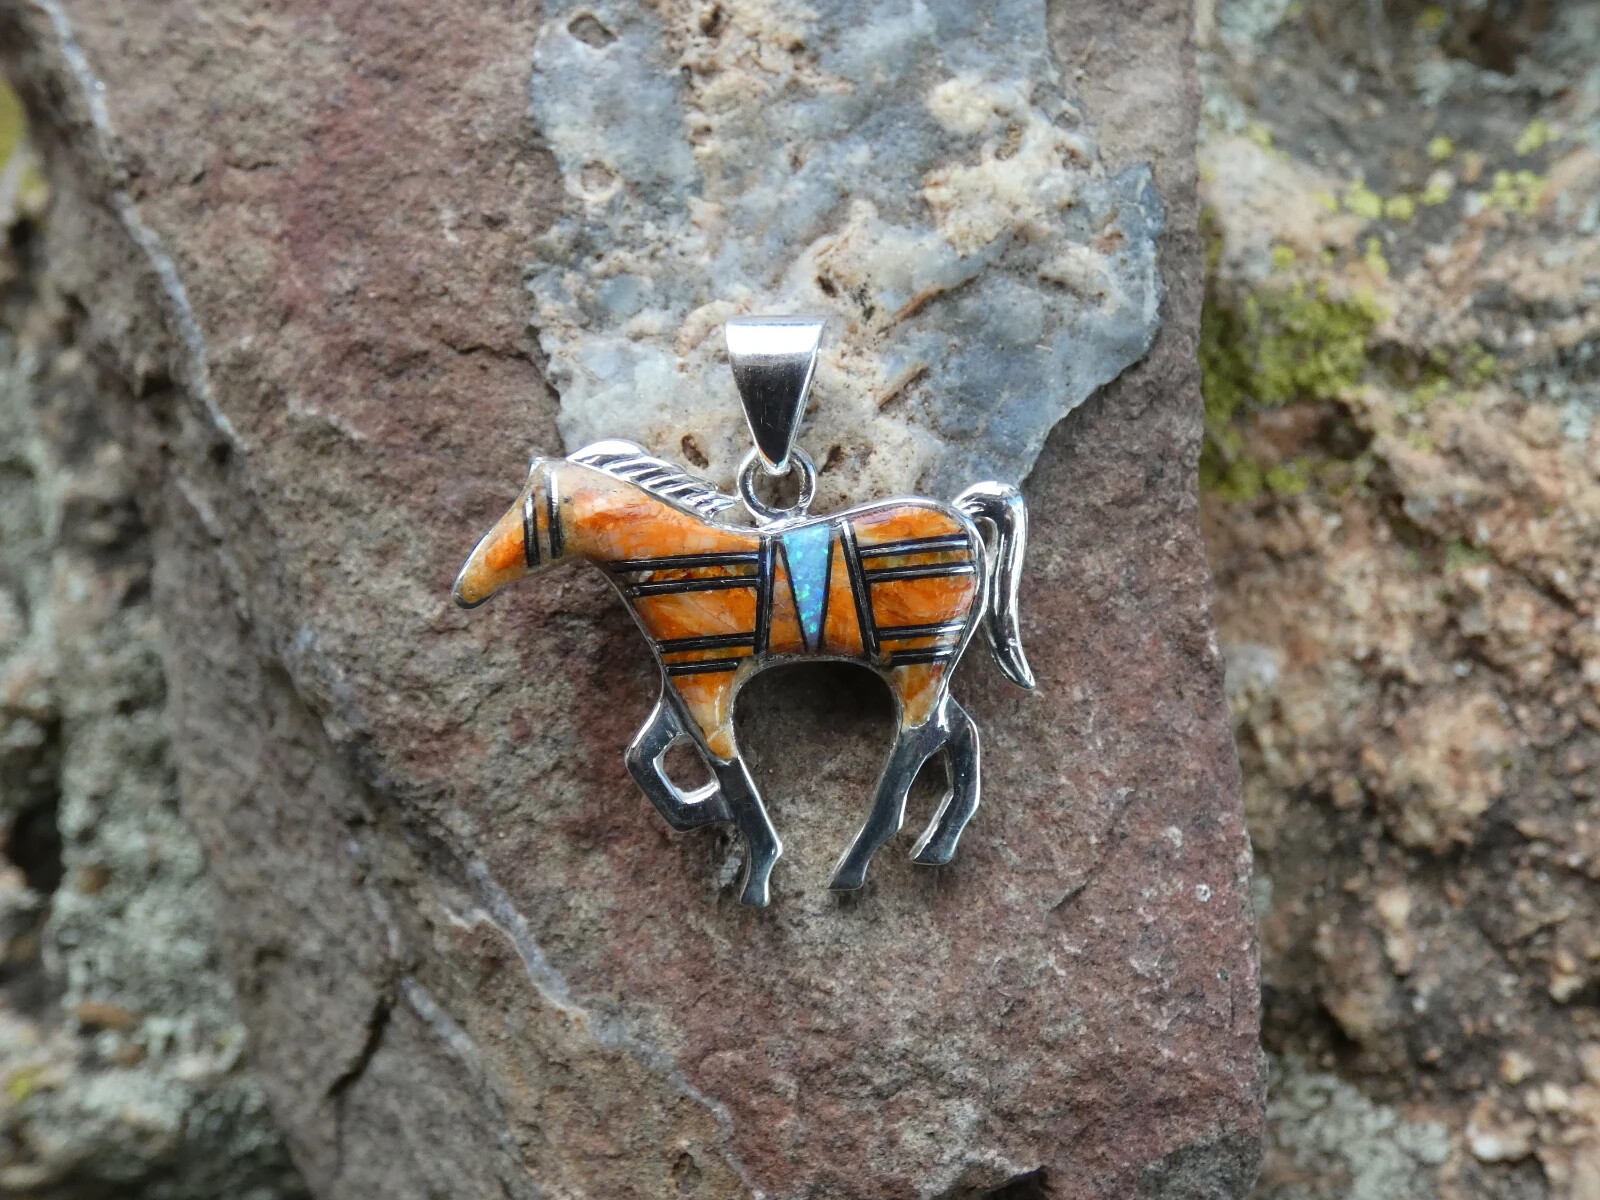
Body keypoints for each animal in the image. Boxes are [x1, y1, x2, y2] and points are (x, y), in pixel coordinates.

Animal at [453, 440, 1033, 906]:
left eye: (527, 511)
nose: (463, 590)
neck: (672, 556)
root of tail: (963, 515)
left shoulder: (704, 690)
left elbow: (731, 777)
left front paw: (756, 872)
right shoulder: (681, 685)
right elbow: (643, 760)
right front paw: (698, 809)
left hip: (918, 666)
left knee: (917, 746)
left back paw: (854, 866)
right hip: (927, 668)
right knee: (959, 733)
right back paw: (935, 845)